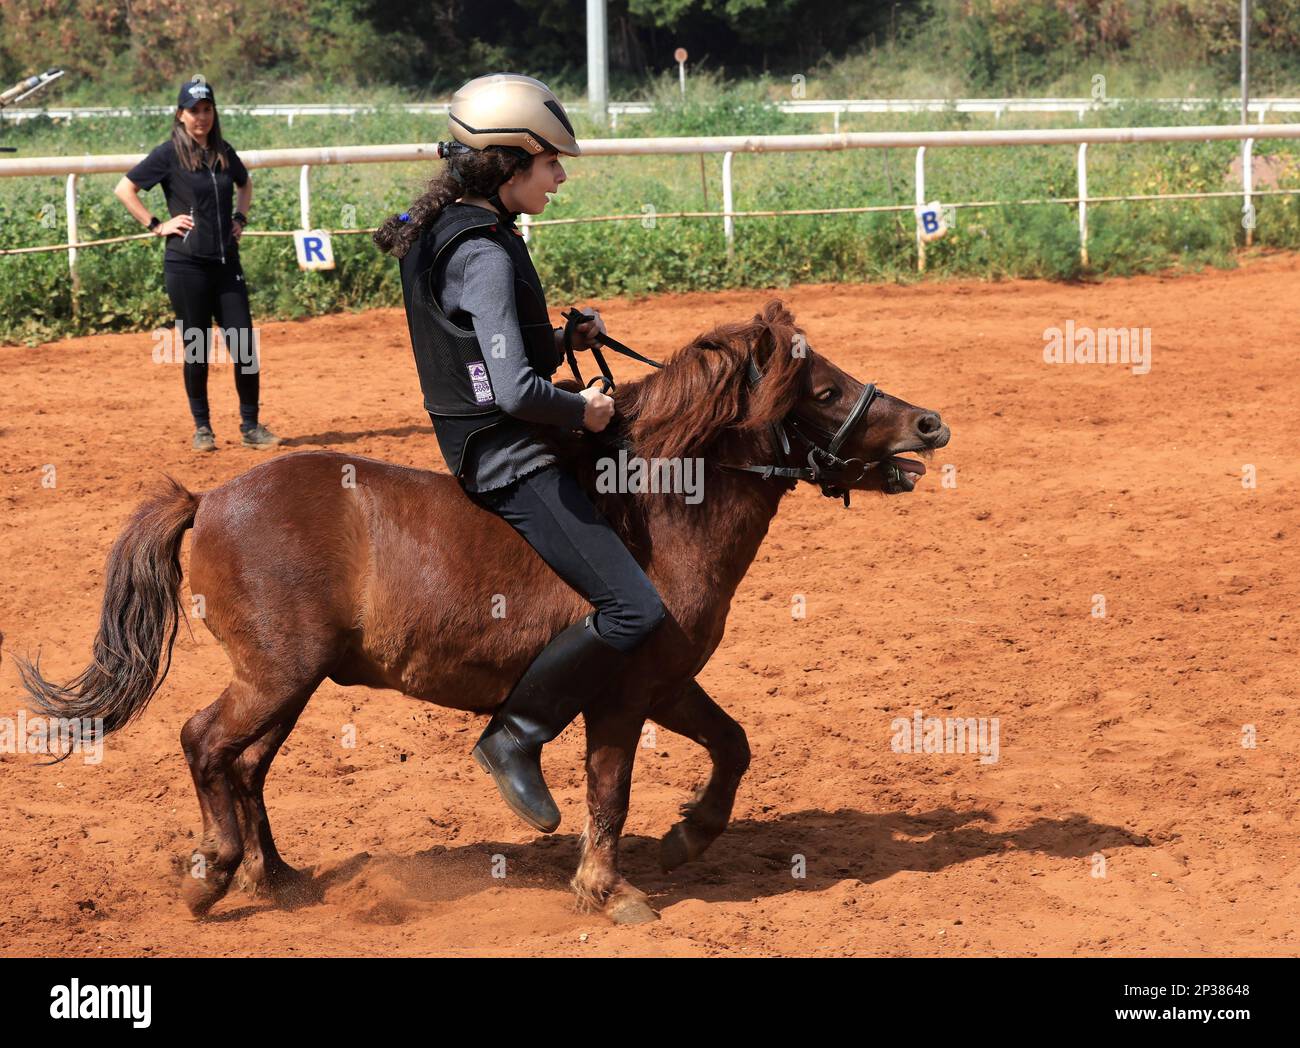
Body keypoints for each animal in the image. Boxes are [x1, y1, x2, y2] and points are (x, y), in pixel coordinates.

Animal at [17, 299, 950, 925]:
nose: (930, 424)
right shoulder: (620, 695)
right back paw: (212, 873)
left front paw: (689, 837)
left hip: (289, 683)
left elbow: (734, 745)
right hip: (275, 675)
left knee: (244, 767)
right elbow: (609, 792)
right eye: (821, 389)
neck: (653, 507)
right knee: (204, 744)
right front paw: (608, 888)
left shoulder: (668, 685)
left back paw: (274, 878)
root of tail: (207, 499)